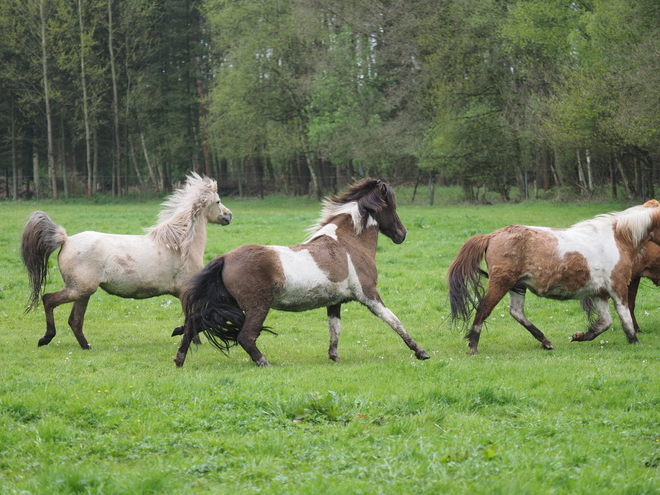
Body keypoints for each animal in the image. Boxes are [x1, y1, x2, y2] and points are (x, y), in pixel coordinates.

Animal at [21, 172, 232, 350]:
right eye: (218, 201)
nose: (229, 215)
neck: (180, 245)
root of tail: (66, 239)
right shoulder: (186, 291)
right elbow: (192, 317)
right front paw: (192, 341)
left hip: (82, 293)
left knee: (75, 320)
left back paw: (86, 346)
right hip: (78, 289)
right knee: (49, 300)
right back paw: (46, 338)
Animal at [173, 178, 430, 368]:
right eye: (392, 207)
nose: (402, 234)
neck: (348, 244)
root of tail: (225, 258)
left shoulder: (335, 301)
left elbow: (335, 328)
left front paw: (334, 357)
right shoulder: (368, 295)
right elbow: (393, 320)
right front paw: (421, 352)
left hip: (228, 306)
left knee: (196, 323)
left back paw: (179, 359)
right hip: (257, 306)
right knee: (245, 337)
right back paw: (264, 362)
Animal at [448, 200, 660, 354]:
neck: (618, 238)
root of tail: (492, 236)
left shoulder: (599, 293)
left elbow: (605, 323)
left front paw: (581, 336)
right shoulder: (618, 287)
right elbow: (626, 316)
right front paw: (634, 341)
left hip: (517, 286)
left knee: (517, 313)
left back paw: (545, 341)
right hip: (501, 284)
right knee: (483, 309)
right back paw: (473, 345)